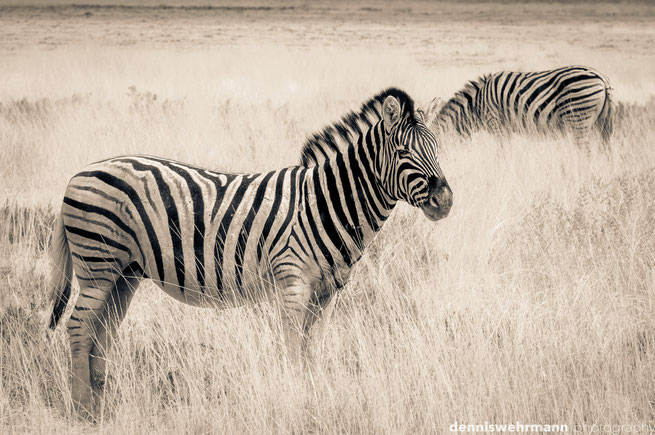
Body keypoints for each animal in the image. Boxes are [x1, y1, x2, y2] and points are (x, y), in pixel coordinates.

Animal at [48, 87, 454, 418]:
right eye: (403, 152)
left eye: (437, 149)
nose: (445, 200)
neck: (325, 204)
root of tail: (79, 173)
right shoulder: (292, 283)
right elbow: (293, 349)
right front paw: (296, 400)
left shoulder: (329, 293)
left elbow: (314, 351)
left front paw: (317, 398)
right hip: (97, 265)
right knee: (79, 325)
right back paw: (81, 409)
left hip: (126, 272)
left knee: (102, 330)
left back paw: (104, 405)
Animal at [420, 65, 616, 146]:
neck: (476, 107)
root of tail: (602, 78)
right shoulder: (505, 129)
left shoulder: (496, 125)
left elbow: (502, 154)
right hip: (602, 123)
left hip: (578, 117)